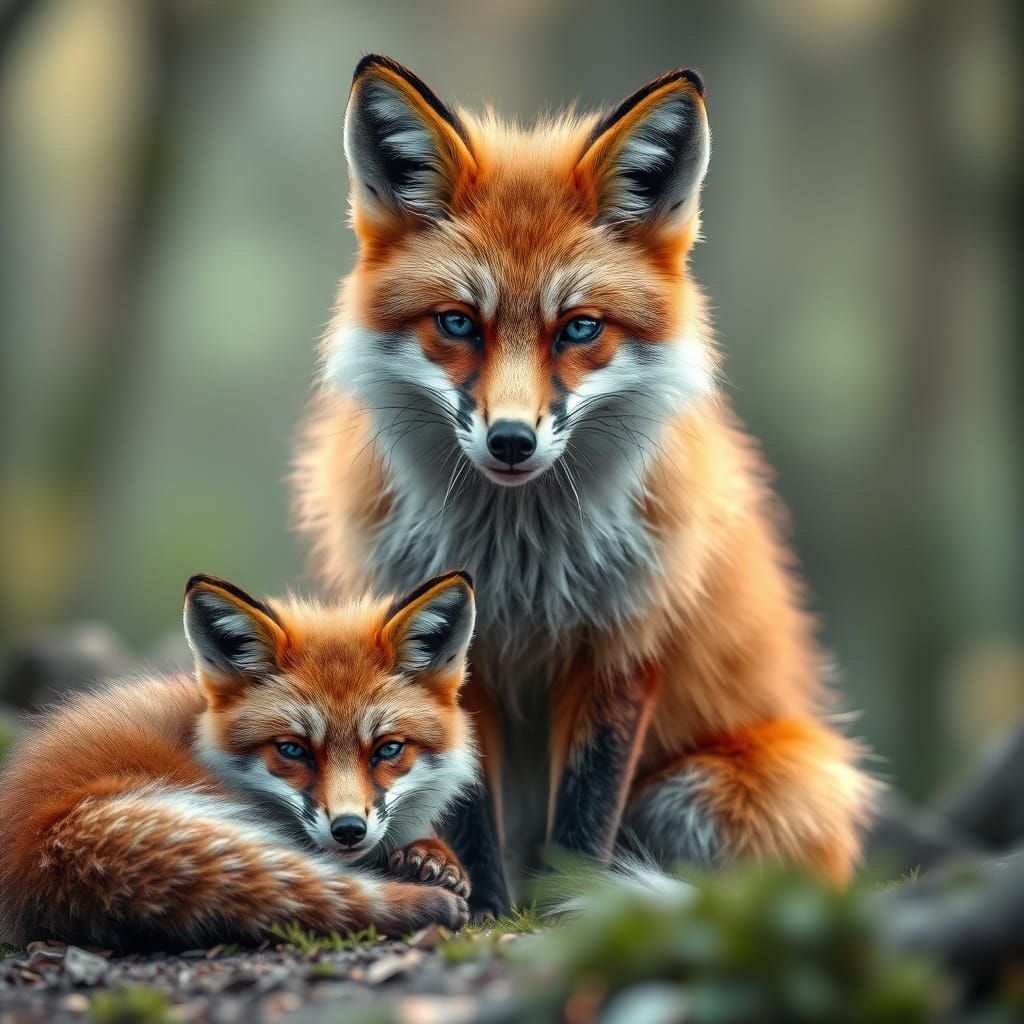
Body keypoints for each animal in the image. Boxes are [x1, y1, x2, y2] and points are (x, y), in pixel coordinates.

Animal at [295, 55, 876, 918]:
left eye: (579, 328)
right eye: (458, 323)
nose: (511, 440)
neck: (519, 560)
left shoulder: (623, 638)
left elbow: (584, 813)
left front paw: (565, 912)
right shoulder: (451, 654)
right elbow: (470, 808)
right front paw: (489, 907)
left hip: (718, 789)